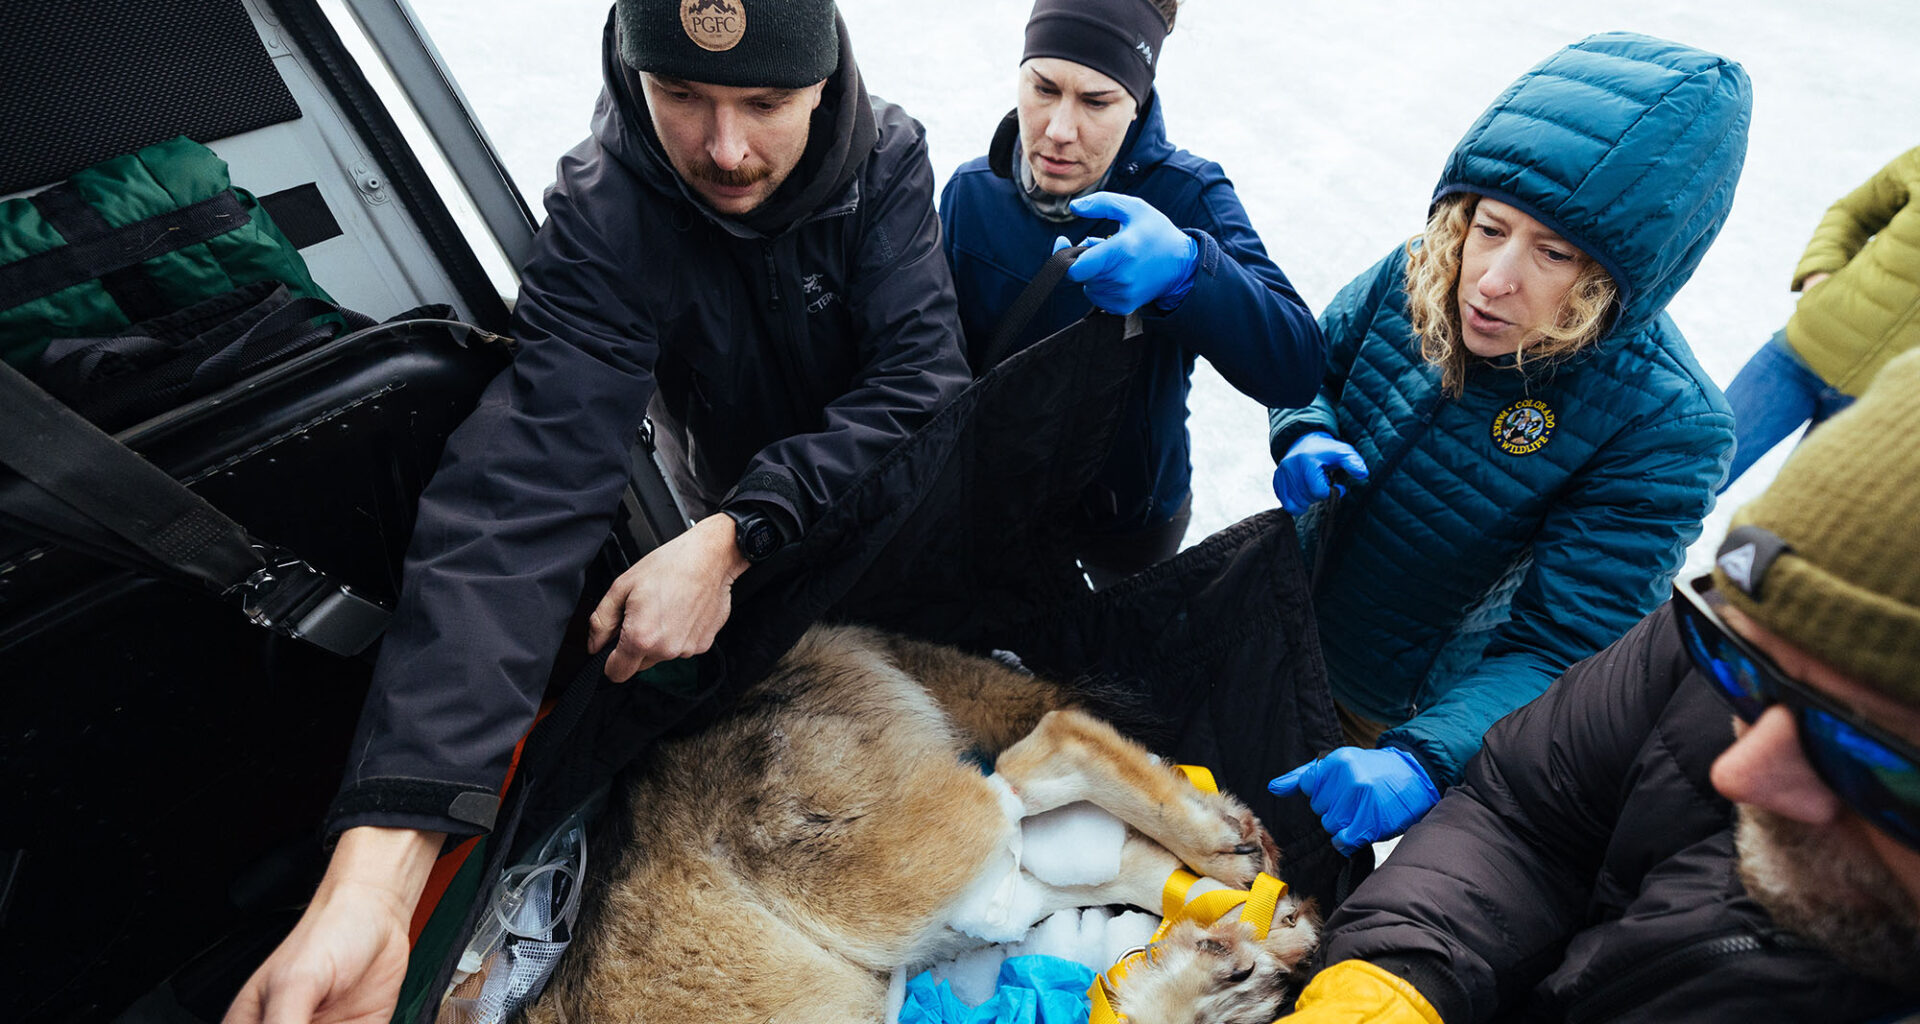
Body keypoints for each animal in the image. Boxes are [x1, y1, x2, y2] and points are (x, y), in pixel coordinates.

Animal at [526, 624, 1320, 1024]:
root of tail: (814, 632)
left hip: (879, 886)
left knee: (1054, 744)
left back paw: (1224, 871)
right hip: (937, 911)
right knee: (1092, 863)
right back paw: (1247, 908)